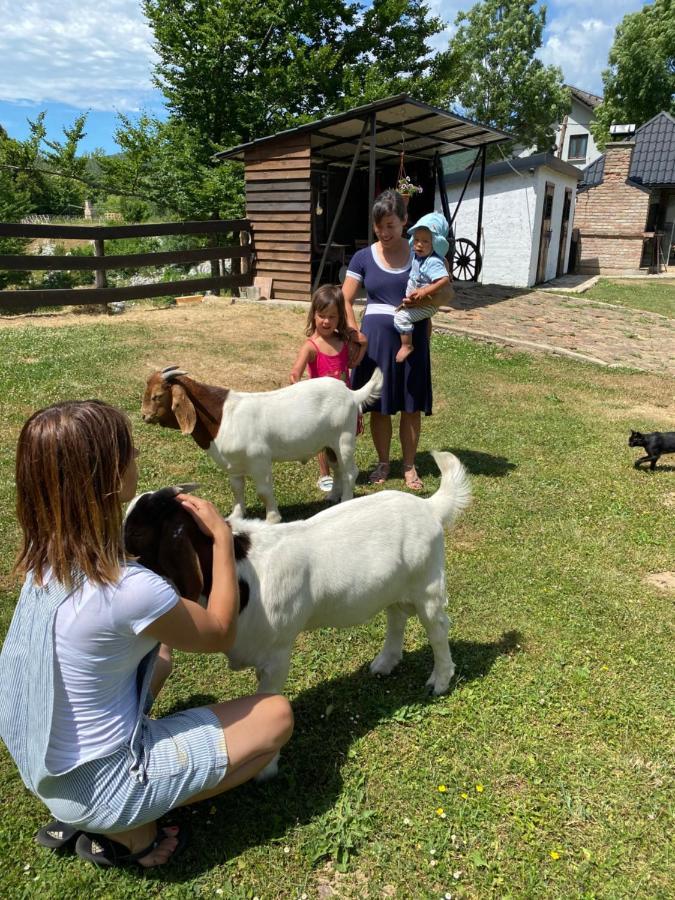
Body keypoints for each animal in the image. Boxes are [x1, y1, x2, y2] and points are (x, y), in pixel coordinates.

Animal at [141, 364, 386, 520]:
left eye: (157, 396)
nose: (144, 416)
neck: (222, 416)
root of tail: (352, 394)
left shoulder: (259, 460)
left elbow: (263, 491)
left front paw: (272, 518)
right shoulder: (233, 464)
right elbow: (236, 488)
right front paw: (236, 515)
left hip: (344, 438)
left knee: (350, 471)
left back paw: (345, 500)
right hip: (328, 443)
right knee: (337, 468)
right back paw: (333, 496)